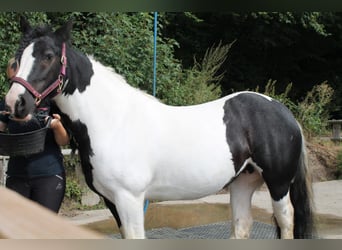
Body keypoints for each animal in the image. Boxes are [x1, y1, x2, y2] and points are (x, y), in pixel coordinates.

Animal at [4, 17, 314, 238]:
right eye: (19, 57)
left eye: (49, 56)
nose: (16, 102)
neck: (112, 122)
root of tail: (282, 110)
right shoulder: (113, 202)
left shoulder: (130, 200)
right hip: (242, 182)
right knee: (242, 225)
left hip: (278, 184)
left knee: (286, 222)